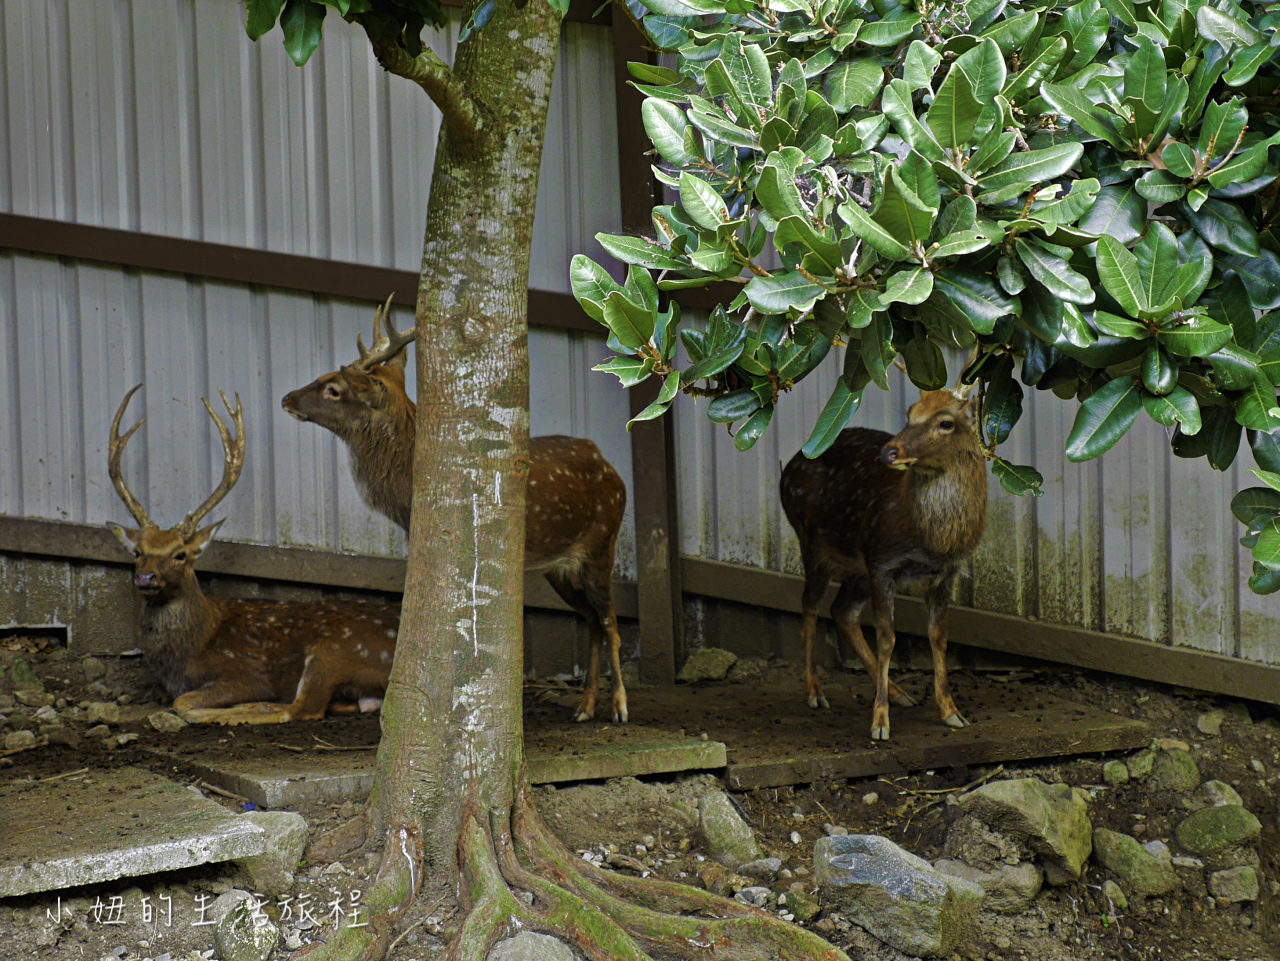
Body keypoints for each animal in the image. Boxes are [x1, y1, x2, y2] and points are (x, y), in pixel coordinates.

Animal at [108, 386, 399, 726]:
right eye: (137, 552)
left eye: (180, 554)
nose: (145, 577)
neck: (188, 653)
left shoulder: (243, 673)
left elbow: (182, 701)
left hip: (335, 649)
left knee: (301, 709)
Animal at [285, 296, 634, 726]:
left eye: (333, 388)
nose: (287, 398)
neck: (407, 490)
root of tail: (613, 472)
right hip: (561, 567)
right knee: (590, 620)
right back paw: (584, 708)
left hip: (604, 540)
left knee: (610, 620)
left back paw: (619, 707)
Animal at [778, 383, 988, 742]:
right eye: (910, 413)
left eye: (946, 423)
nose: (889, 451)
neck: (929, 537)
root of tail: (787, 468)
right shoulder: (881, 561)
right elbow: (887, 638)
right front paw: (879, 723)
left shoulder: (946, 572)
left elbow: (939, 636)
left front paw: (952, 712)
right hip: (811, 541)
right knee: (810, 604)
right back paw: (815, 691)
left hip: (856, 567)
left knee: (841, 610)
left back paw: (899, 692)